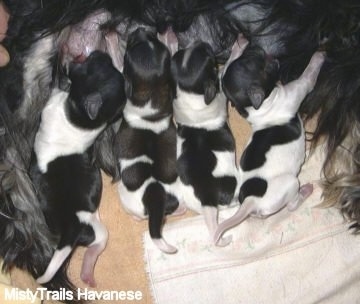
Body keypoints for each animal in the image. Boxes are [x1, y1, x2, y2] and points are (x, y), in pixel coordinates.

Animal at [31, 51, 126, 288]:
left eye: (89, 64)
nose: (99, 52)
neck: (75, 111)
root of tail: (69, 230)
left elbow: (56, 81)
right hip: (97, 232)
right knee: (95, 248)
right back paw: (88, 273)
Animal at [114, 28, 184, 253]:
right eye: (152, 38)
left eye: (130, 48)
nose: (140, 29)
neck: (152, 96)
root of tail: (156, 196)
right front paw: (171, 40)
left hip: (124, 195)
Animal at [172, 41, 239, 246]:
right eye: (209, 56)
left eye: (183, 51)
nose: (201, 41)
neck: (190, 94)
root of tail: (206, 197)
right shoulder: (221, 93)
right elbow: (225, 72)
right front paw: (237, 49)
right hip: (234, 183)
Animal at [214, 45, 326, 245]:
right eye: (262, 65)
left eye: (248, 57)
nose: (261, 49)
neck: (256, 108)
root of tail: (251, 201)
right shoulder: (298, 89)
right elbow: (308, 75)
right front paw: (318, 56)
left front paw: (237, 46)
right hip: (291, 183)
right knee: (292, 205)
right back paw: (305, 191)